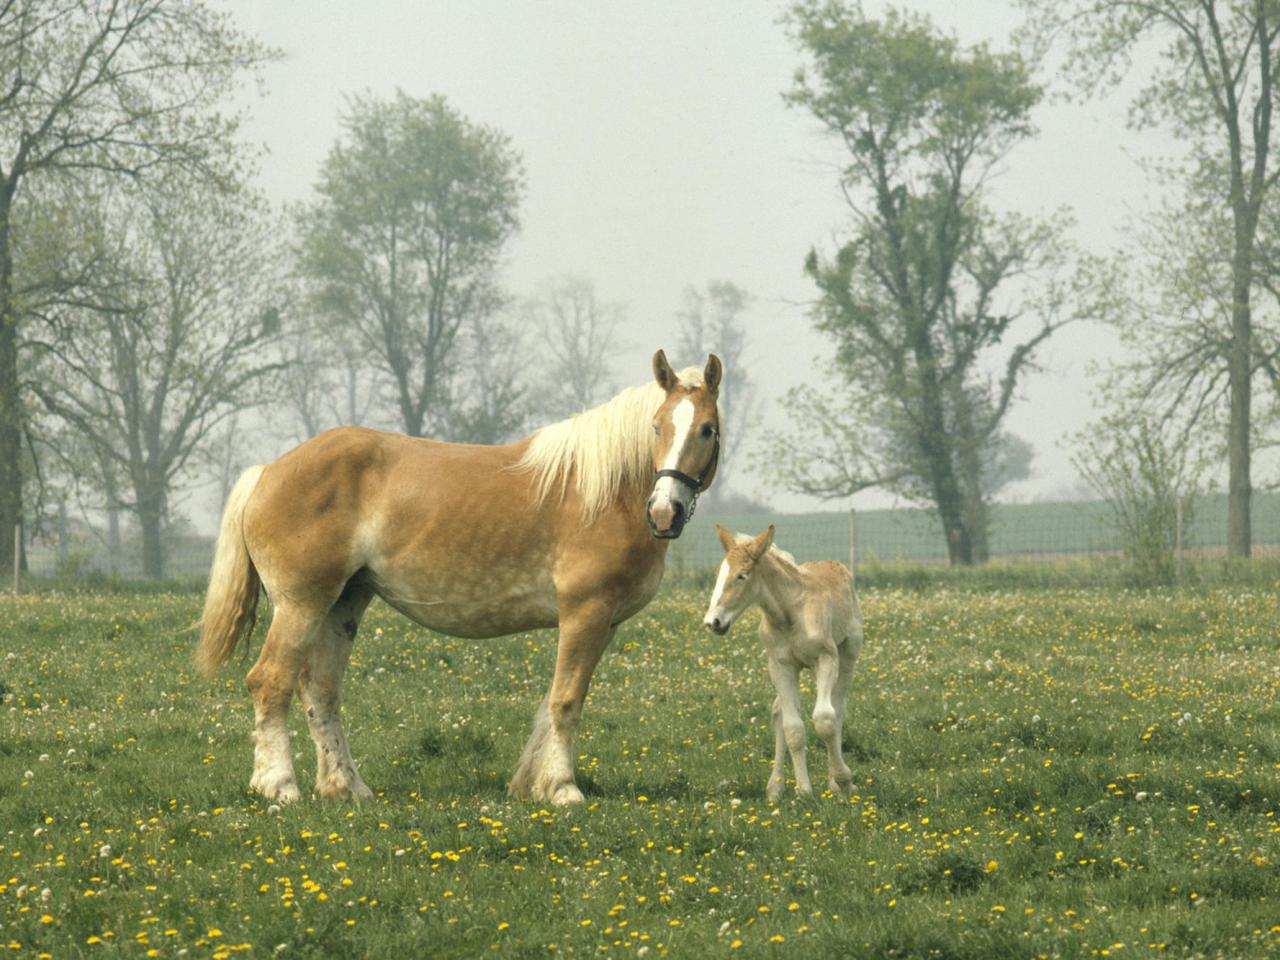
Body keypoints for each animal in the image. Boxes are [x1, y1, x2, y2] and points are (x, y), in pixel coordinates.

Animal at [197, 350, 721, 808]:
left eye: (707, 429)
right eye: (657, 427)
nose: (664, 512)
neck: (607, 492)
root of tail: (267, 472)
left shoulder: (604, 624)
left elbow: (550, 703)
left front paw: (530, 784)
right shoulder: (584, 612)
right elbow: (566, 701)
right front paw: (563, 788)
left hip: (341, 605)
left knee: (321, 693)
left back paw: (347, 788)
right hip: (301, 603)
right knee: (270, 682)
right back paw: (279, 786)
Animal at [706, 527, 865, 803]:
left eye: (742, 575)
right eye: (719, 574)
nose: (713, 622)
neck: (788, 613)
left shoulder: (826, 658)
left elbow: (825, 719)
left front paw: (843, 781)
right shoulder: (780, 665)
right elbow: (793, 728)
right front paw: (804, 791)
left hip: (848, 655)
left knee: (838, 708)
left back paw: (835, 783)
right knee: (779, 710)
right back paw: (775, 787)